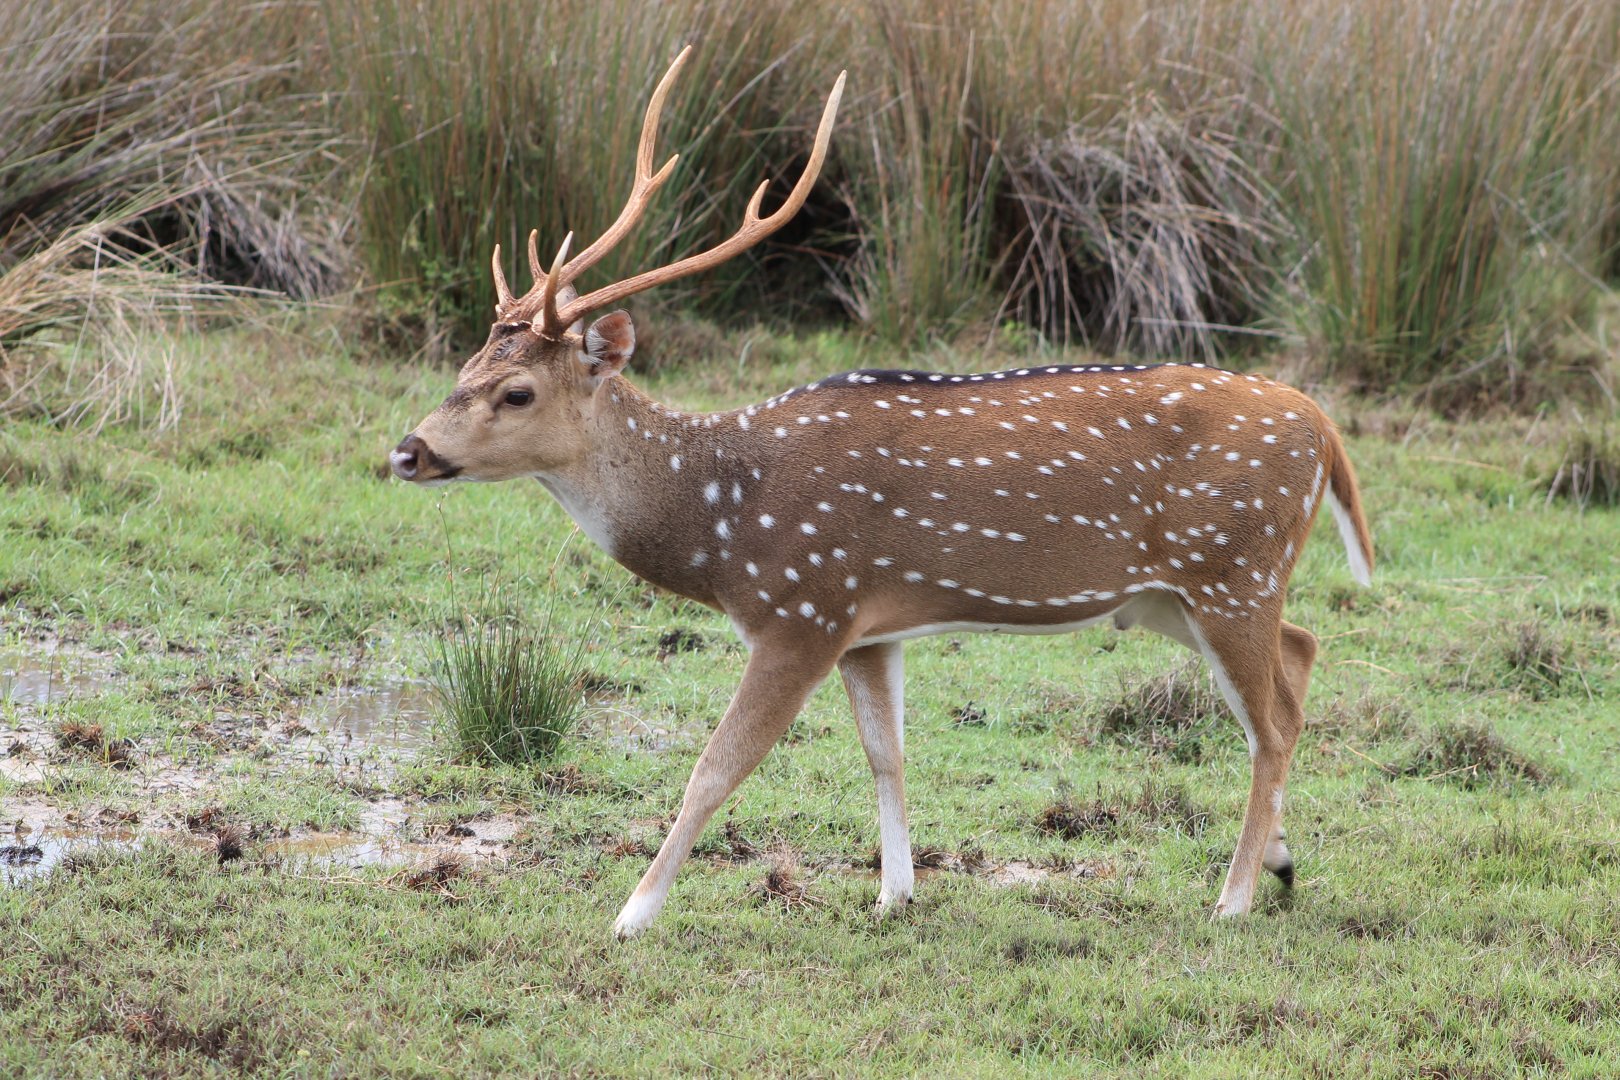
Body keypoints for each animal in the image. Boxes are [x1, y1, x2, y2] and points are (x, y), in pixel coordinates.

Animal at [388, 47, 1374, 940]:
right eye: (467, 365)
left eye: (518, 392)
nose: (407, 451)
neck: (723, 526)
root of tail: (1322, 427)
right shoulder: (869, 626)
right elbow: (886, 754)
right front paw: (895, 894)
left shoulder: (803, 608)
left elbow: (716, 766)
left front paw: (631, 915)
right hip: (1175, 594)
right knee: (1302, 653)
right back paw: (1283, 862)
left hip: (1231, 569)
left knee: (1272, 720)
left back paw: (1233, 899)